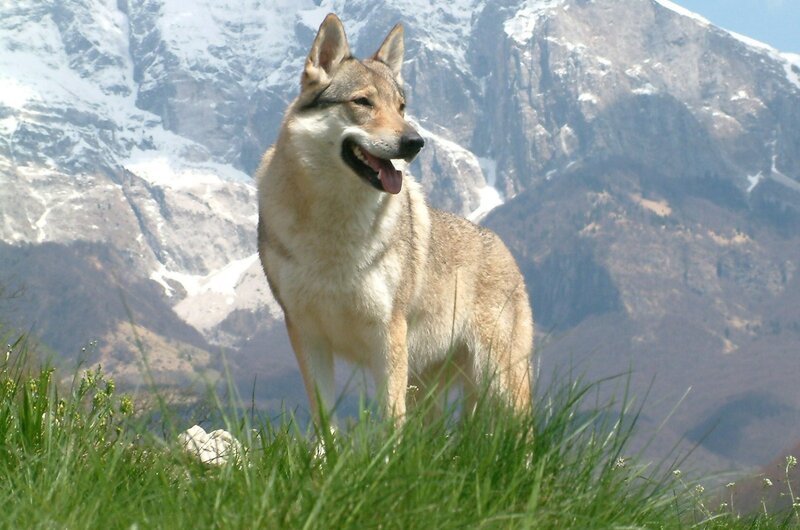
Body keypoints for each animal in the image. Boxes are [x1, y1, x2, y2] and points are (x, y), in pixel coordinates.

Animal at [256, 13, 533, 426]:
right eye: (363, 102)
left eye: (401, 106)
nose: (415, 142)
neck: (334, 225)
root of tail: (504, 248)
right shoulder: (306, 333)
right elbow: (325, 419)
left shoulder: (387, 334)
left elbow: (391, 420)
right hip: (430, 387)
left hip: (497, 382)